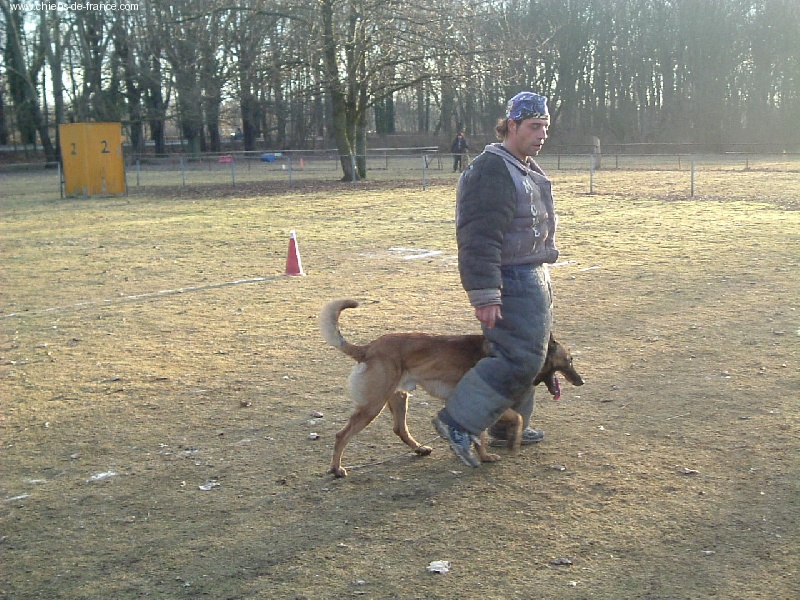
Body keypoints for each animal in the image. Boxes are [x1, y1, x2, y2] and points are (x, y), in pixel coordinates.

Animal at [322, 300, 584, 478]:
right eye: (570, 360)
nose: (581, 381)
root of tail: (367, 348)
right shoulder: (488, 403)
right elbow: (515, 419)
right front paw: (512, 442)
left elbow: (481, 435)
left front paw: (484, 456)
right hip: (372, 405)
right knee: (342, 435)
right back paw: (336, 468)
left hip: (398, 398)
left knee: (400, 429)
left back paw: (420, 449)